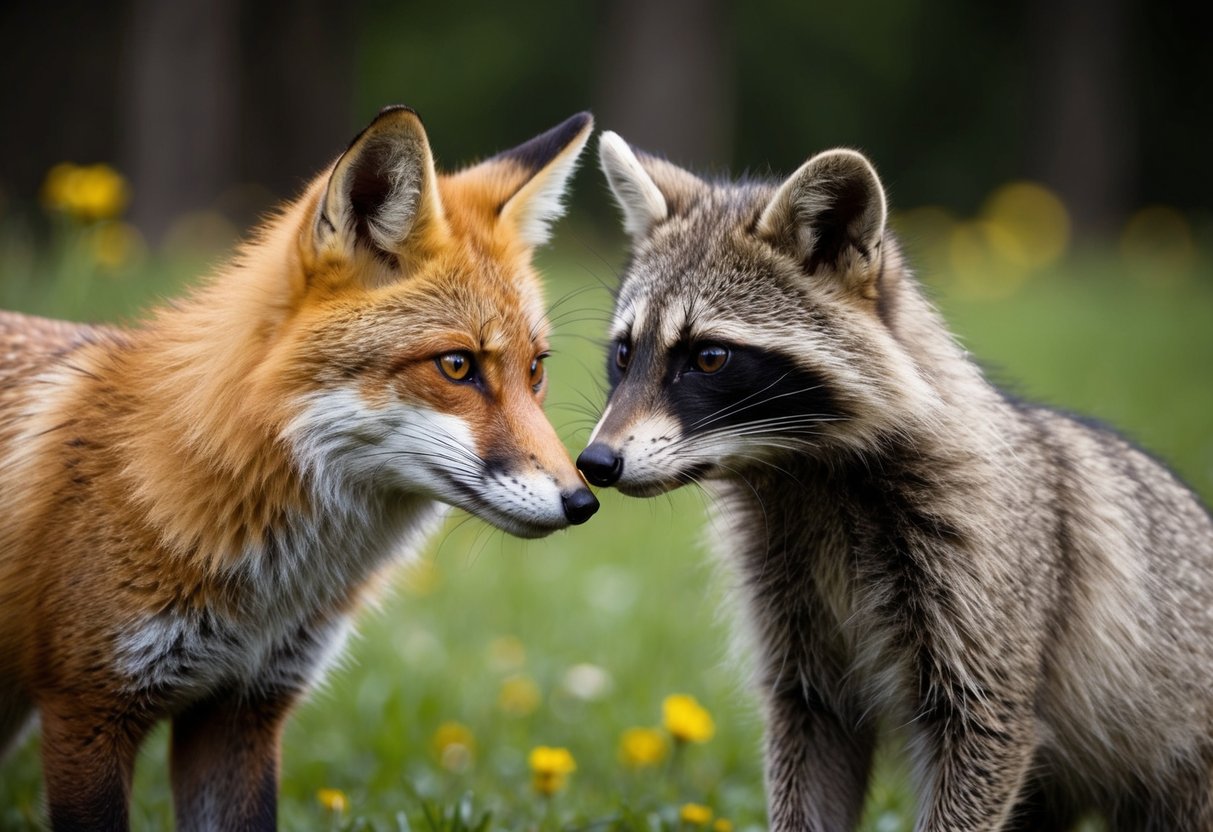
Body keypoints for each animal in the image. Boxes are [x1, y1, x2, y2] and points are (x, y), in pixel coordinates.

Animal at [578, 131, 1213, 831]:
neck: (803, 477)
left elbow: (981, 727)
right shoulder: (799, 638)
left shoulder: (985, 601)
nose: (594, 464)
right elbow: (810, 734)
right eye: (625, 354)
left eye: (709, 357)